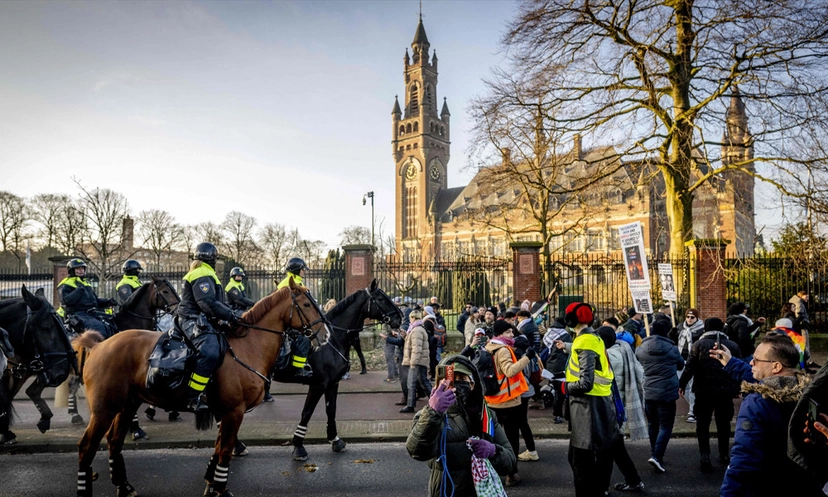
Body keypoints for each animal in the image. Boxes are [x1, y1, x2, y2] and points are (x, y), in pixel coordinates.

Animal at [73, 280, 328, 496]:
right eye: (307, 304)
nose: (325, 335)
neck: (248, 346)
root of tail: (99, 345)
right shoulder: (234, 411)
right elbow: (225, 450)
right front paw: (221, 489)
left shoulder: (224, 411)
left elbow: (218, 447)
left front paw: (211, 482)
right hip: (104, 410)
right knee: (86, 447)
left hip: (127, 406)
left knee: (114, 442)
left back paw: (124, 486)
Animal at [270, 280, 402, 462]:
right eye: (381, 298)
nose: (400, 317)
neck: (332, 340)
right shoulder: (318, 384)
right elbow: (307, 413)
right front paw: (298, 446)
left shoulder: (332, 383)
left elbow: (331, 410)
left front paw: (335, 440)